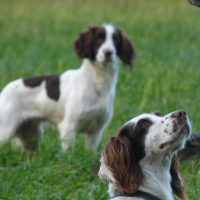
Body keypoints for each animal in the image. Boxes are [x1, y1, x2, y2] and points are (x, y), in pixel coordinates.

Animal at [0, 24, 135, 152]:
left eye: (116, 40)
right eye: (98, 39)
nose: (108, 53)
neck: (97, 84)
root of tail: (5, 90)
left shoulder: (96, 131)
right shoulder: (68, 127)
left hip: (32, 135)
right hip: (6, 130)